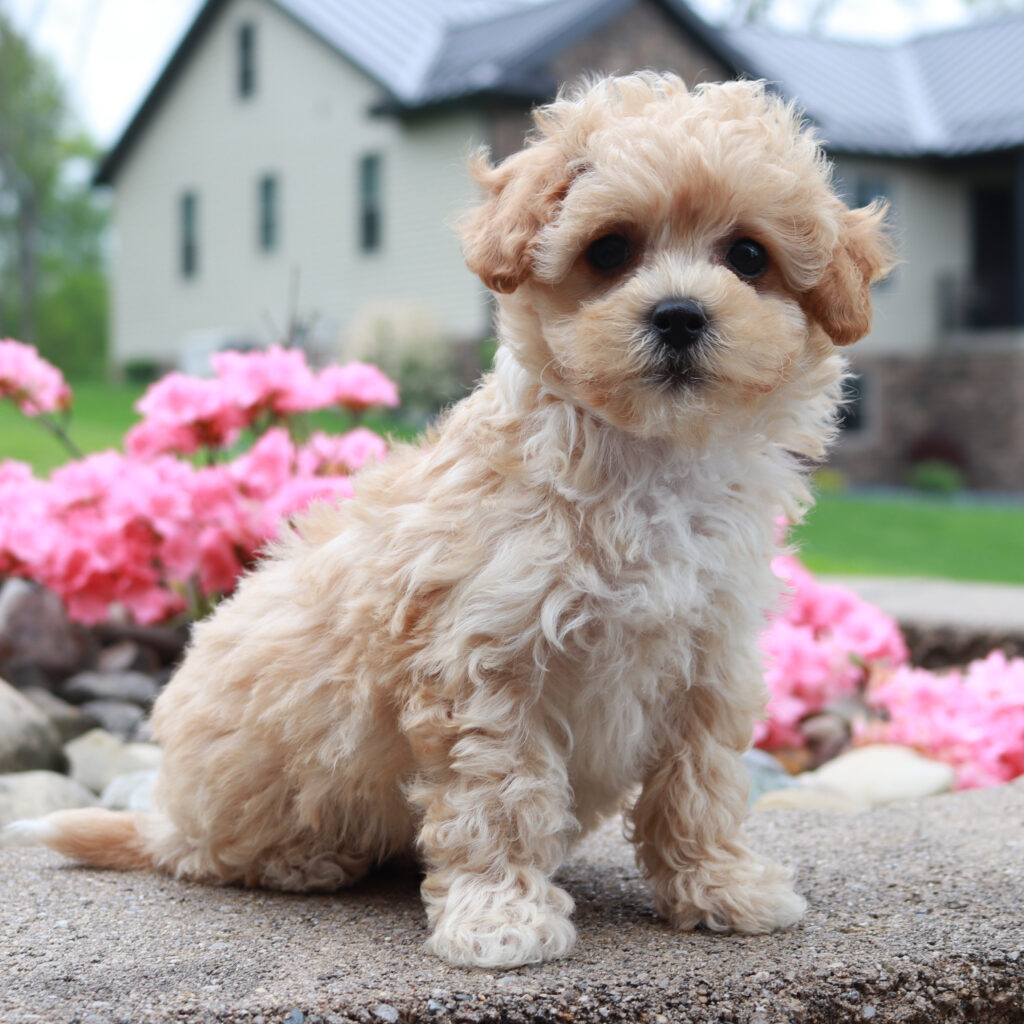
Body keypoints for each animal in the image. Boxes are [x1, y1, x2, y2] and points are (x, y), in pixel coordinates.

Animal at [13, 73, 891, 969]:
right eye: (610, 249)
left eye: (748, 256)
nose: (679, 314)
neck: (646, 459)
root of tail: (166, 813)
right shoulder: (488, 663)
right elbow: (500, 797)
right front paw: (503, 919)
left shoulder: (708, 659)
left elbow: (701, 785)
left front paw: (720, 886)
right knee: (208, 854)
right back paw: (302, 860)